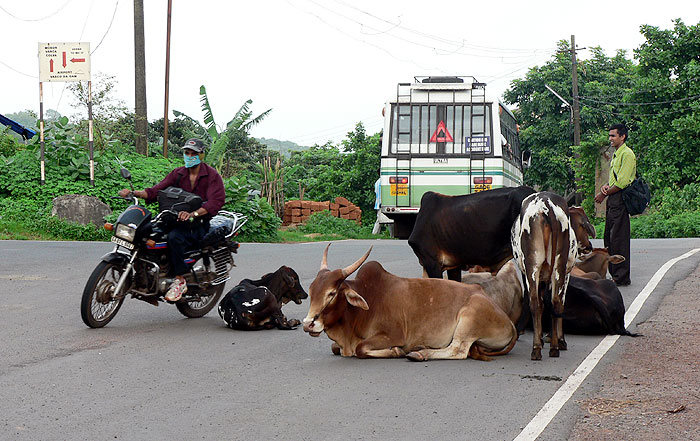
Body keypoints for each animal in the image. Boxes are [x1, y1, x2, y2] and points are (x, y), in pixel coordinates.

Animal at [304, 244, 516, 360]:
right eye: (311, 291)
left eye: (331, 293)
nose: (308, 324)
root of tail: (510, 322)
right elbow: (335, 348)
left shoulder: (393, 335)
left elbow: (361, 348)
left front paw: (396, 352)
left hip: (469, 319)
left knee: (458, 350)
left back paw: (420, 354)